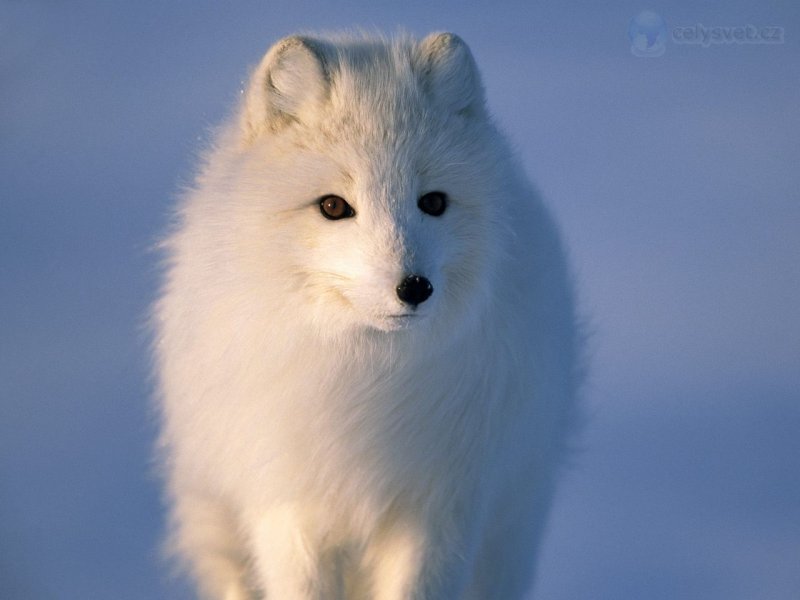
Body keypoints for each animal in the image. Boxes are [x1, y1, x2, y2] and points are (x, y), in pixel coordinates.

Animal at [156, 31, 580, 600]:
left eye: (434, 202)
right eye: (333, 207)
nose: (414, 287)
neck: (364, 377)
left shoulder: (440, 510)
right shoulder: (290, 510)